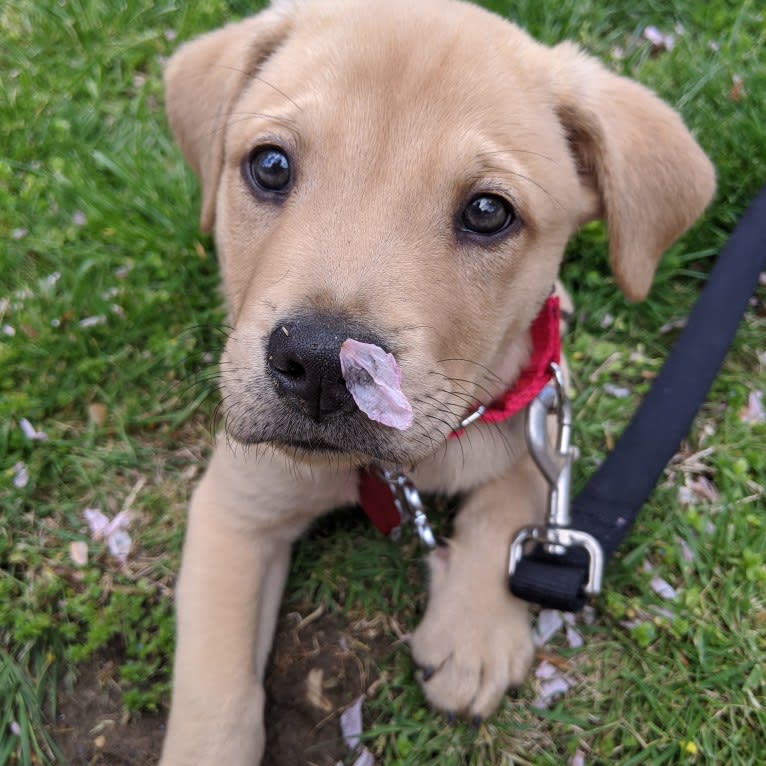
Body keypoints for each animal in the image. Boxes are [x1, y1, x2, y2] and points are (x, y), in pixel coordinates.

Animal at [159, 3, 716, 764]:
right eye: (269, 165)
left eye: (487, 211)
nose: (324, 364)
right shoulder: (234, 509)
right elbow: (215, 692)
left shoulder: (534, 415)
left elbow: (512, 503)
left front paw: (472, 635)